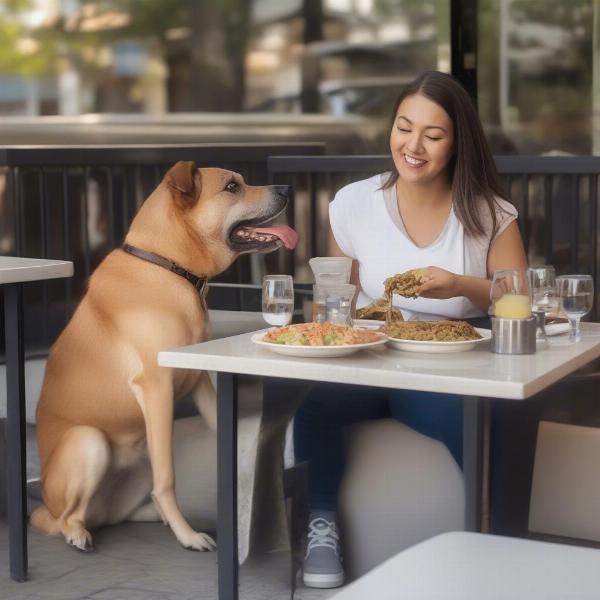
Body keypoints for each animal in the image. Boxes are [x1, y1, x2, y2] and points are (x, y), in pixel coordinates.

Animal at [30, 161, 298, 552]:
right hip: (90, 442)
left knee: (134, 507)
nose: (287, 189)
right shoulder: (157, 389)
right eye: (232, 187)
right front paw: (188, 536)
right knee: (68, 517)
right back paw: (79, 532)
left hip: (140, 459)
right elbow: (168, 479)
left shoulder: (200, 379)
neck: (167, 267)